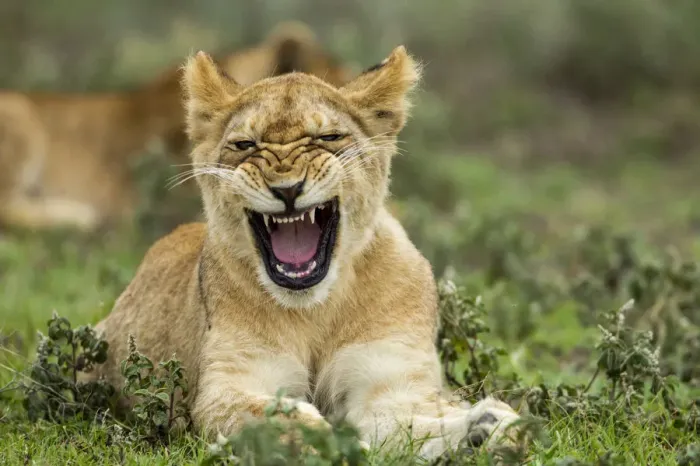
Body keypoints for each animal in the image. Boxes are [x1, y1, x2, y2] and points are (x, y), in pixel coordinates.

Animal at [88, 47, 521, 459]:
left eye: (328, 138)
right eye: (245, 144)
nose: (287, 188)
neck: (315, 310)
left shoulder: (389, 379)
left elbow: (414, 423)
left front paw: (488, 428)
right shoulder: (229, 384)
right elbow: (277, 418)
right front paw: (336, 445)